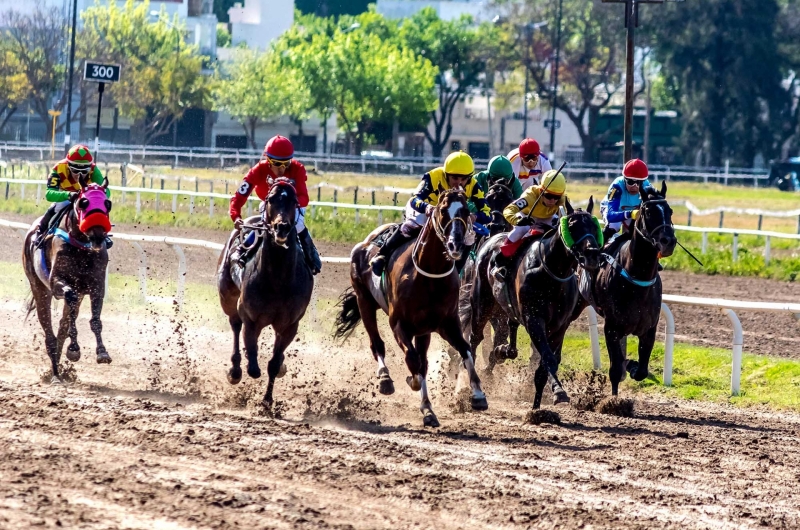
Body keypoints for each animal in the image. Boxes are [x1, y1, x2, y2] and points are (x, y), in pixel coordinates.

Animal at [22, 180, 114, 380]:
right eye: (83, 203)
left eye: (108, 203)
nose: (98, 234)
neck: (81, 247)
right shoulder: (57, 282)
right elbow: (69, 300)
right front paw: (74, 348)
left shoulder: (96, 285)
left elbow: (94, 320)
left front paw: (102, 352)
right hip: (39, 287)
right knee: (48, 330)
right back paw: (56, 373)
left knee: (62, 327)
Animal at [217, 176, 314, 404]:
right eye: (271, 199)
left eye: (294, 201)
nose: (282, 228)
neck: (278, 280)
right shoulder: (251, 318)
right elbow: (253, 363)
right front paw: (245, 366)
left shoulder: (290, 325)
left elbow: (274, 364)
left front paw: (267, 401)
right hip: (227, 297)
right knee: (235, 324)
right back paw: (235, 370)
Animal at [332, 188, 488, 426]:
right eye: (443, 211)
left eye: (465, 211)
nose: (456, 245)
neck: (429, 275)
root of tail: (366, 241)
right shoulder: (399, 324)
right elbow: (413, 361)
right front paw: (414, 385)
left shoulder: (446, 324)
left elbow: (465, 350)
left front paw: (477, 395)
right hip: (364, 300)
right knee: (377, 344)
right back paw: (385, 378)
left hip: (422, 330)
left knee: (423, 358)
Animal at [468, 198, 600, 408]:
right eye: (572, 225)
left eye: (595, 226)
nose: (592, 256)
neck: (552, 272)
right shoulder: (534, 319)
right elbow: (548, 358)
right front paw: (559, 392)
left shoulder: (560, 325)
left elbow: (548, 361)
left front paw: (539, 404)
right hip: (482, 303)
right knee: (475, 338)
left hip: (504, 309)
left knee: (505, 330)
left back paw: (503, 351)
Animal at [568, 182, 676, 392]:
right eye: (648, 212)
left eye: (670, 211)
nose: (668, 241)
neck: (637, 279)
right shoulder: (612, 328)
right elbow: (615, 371)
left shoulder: (649, 329)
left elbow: (641, 370)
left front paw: (632, 365)